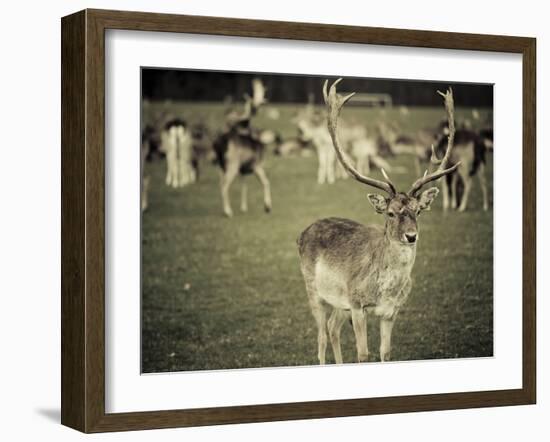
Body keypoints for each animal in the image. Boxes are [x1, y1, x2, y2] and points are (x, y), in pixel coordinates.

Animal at [215, 80, 272, 219]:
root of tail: (220, 143)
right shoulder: (256, 165)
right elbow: (266, 182)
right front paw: (267, 206)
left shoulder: (243, 170)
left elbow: (244, 185)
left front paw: (243, 208)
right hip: (232, 164)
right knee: (224, 186)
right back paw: (228, 211)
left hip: (220, 166)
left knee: (220, 185)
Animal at [300, 78, 460, 362]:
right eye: (390, 213)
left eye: (418, 211)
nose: (411, 235)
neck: (385, 290)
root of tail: (302, 234)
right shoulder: (356, 304)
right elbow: (363, 354)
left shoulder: (391, 311)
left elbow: (386, 353)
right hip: (315, 292)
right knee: (320, 336)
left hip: (339, 302)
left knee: (332, 329)